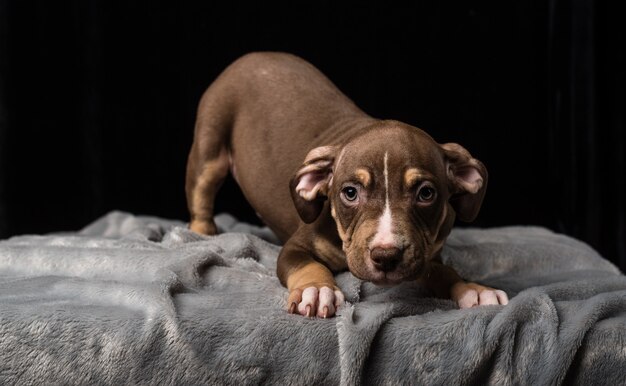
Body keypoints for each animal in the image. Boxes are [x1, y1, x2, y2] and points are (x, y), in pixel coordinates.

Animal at [185, 52, 508, 316]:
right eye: (350, 193)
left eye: (426, 193)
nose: (385, 256)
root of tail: (256, 55)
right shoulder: (296, 247)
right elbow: (307, 264)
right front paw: (316, 290)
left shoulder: (425, 256)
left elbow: (445, 272)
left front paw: (473, 290)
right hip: (210, 145)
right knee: (201, 194)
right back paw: (202, 233)